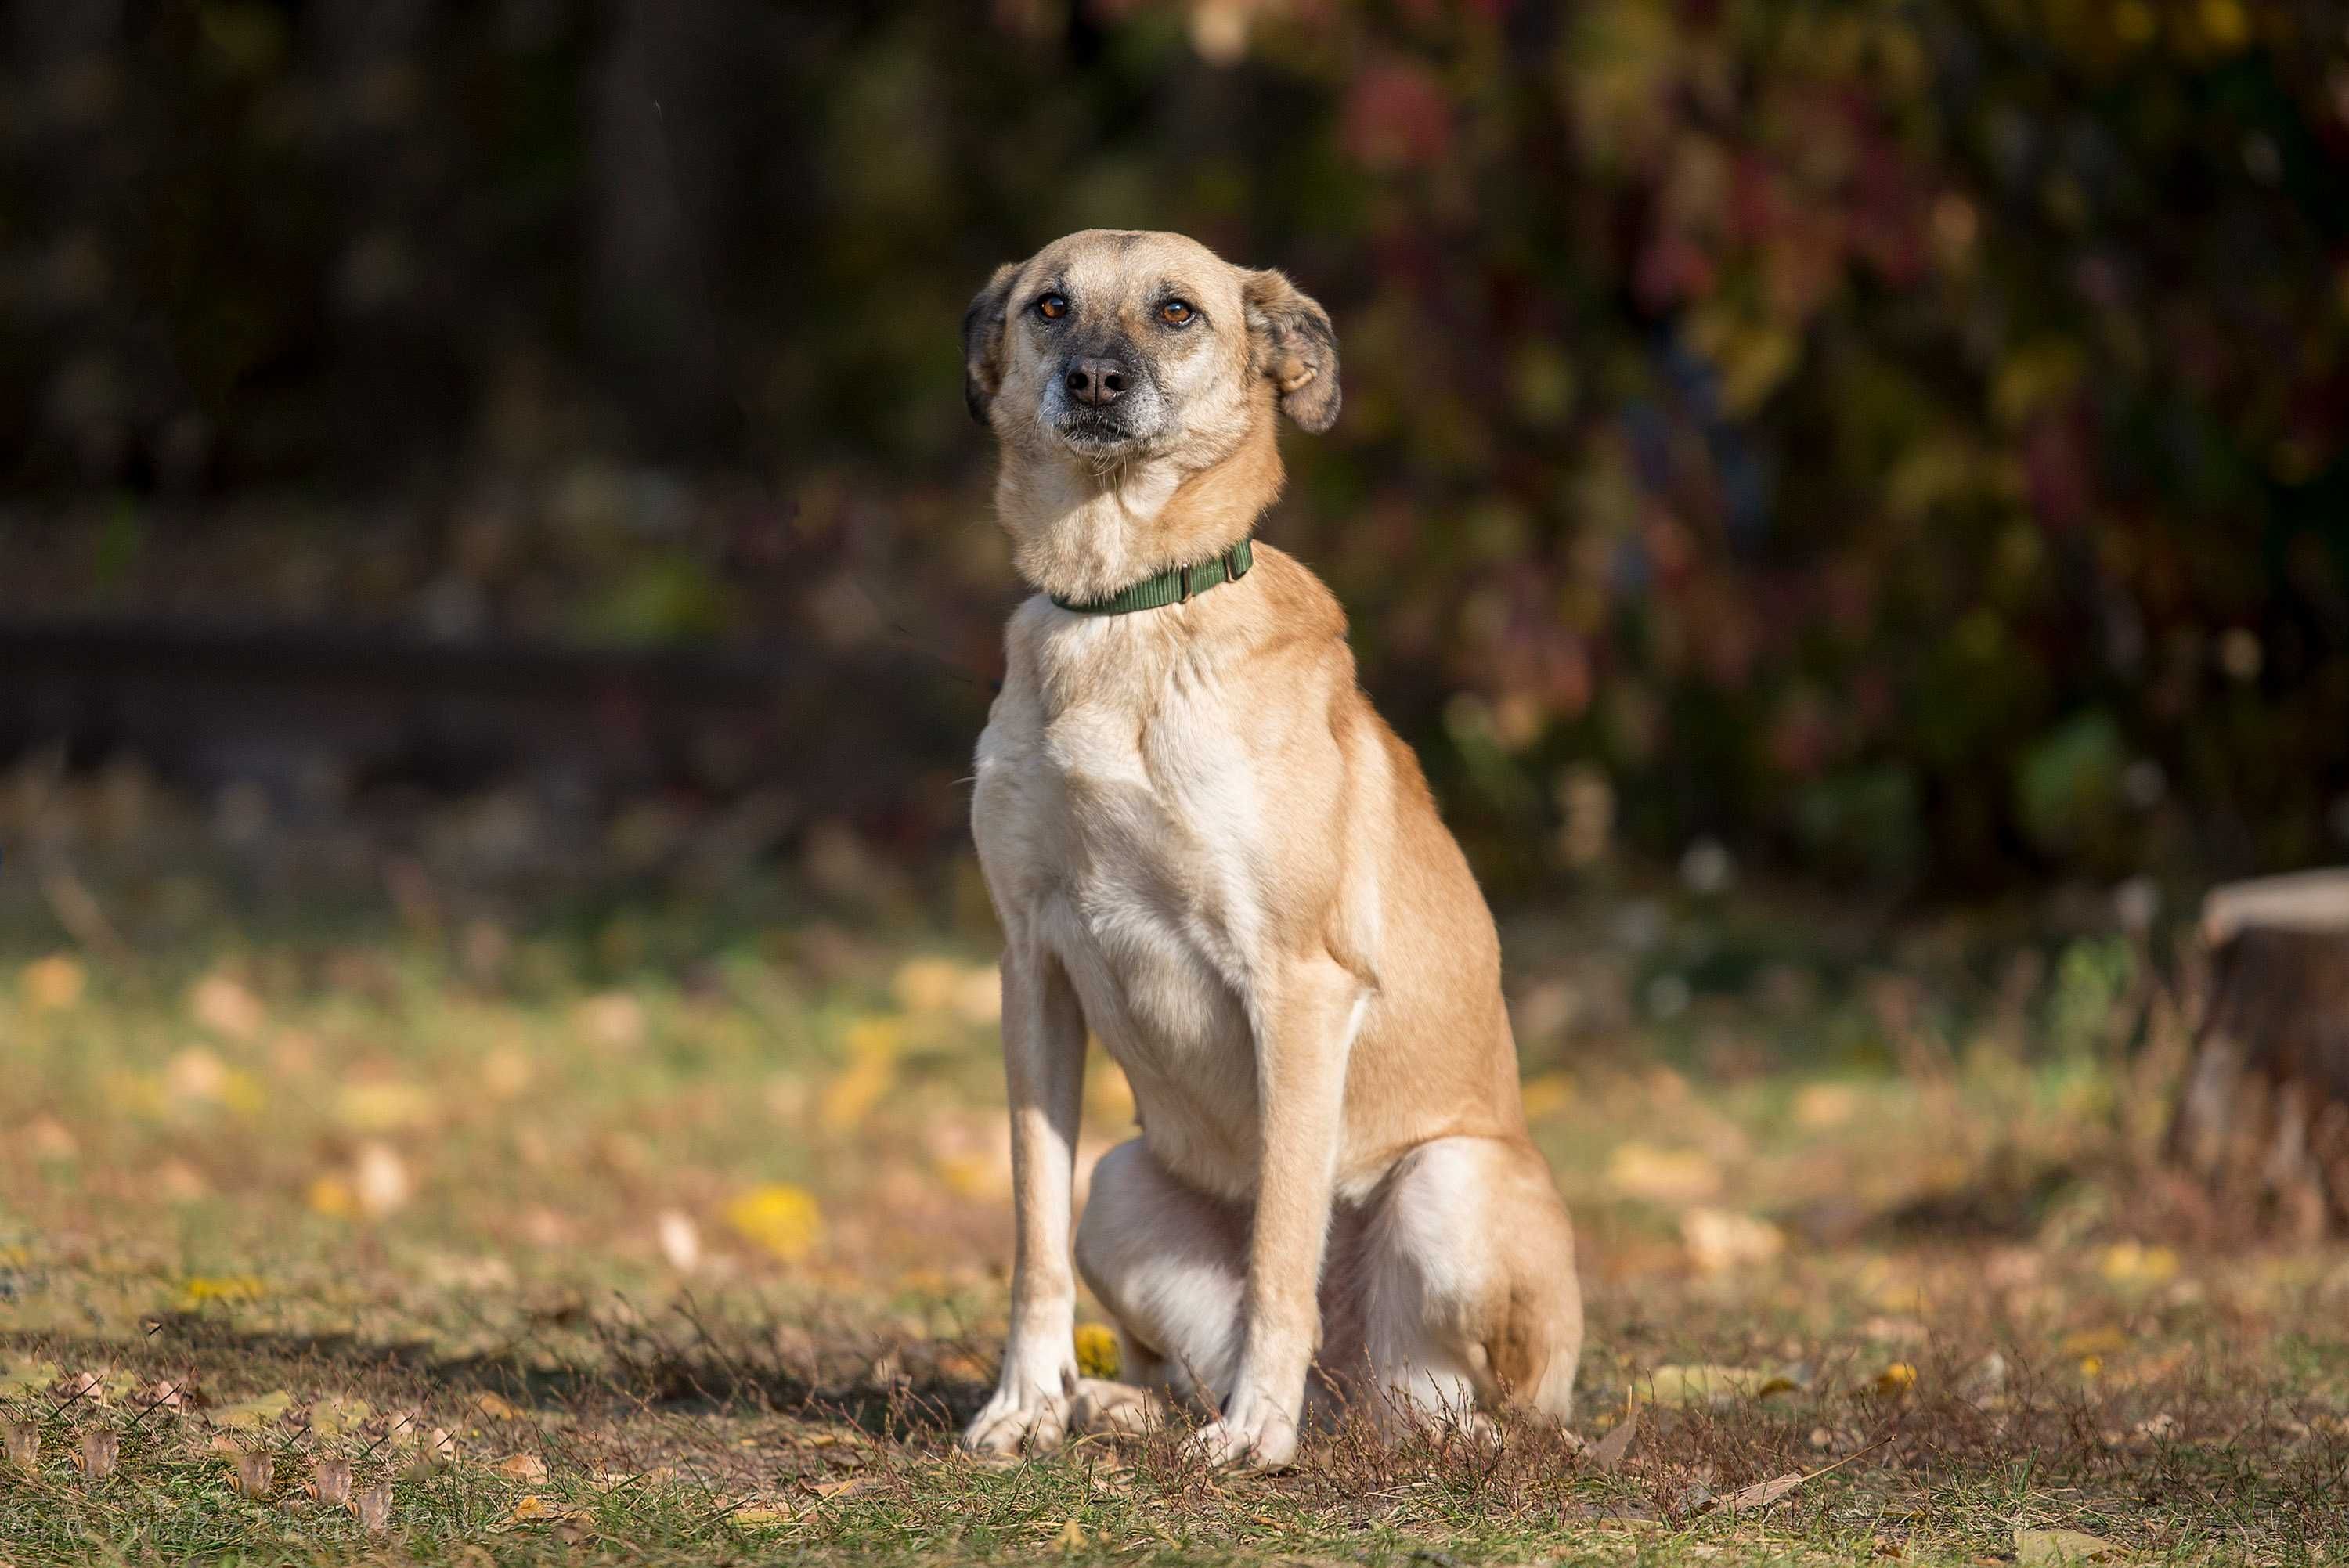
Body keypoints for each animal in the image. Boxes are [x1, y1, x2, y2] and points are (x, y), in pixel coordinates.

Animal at [954, 229, 1579, 1474]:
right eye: (1051, 307)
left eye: (1176, 313)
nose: (1095, 380)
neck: (1128, 610)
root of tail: (1355, 1392)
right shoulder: (1031, 964)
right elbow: (1032, 1232)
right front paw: (1028, 1402)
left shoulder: (1295, 984)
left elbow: (1283, 1243)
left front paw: (1254, 1433)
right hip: (1121, 1185)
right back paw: (1133, 1403)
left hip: (1450, 1184)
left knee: (1457, 1405)